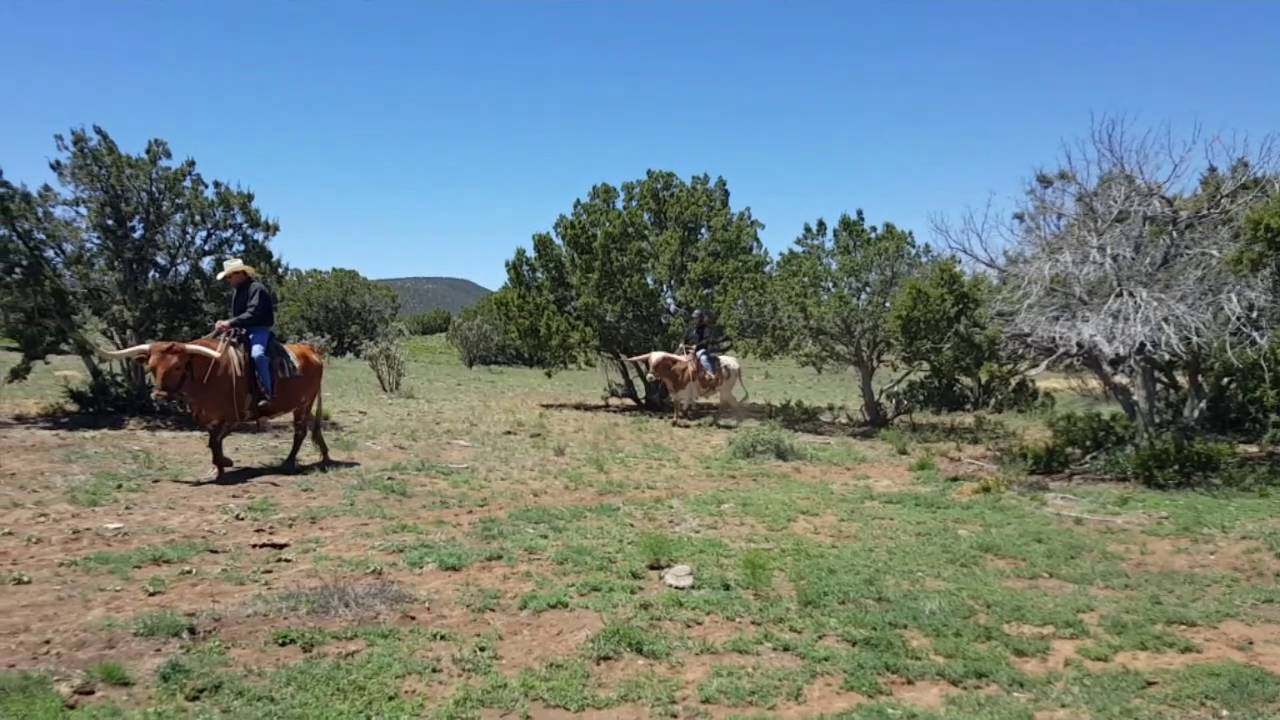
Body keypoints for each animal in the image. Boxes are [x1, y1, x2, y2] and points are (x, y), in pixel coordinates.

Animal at [95, 337, 330, 479]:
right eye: (151, 367)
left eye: (177, 366)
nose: (159, 395)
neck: (209, 374)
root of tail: (310, 350)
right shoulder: (208, 416)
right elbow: (213, 440)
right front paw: (221, 463)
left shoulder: (228, 415)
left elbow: (215, 440)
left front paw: (220, 466)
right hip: (304, 405)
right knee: (312, 427)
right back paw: (325, 455)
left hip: (303, 403)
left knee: (300, 431)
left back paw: (289, 462)